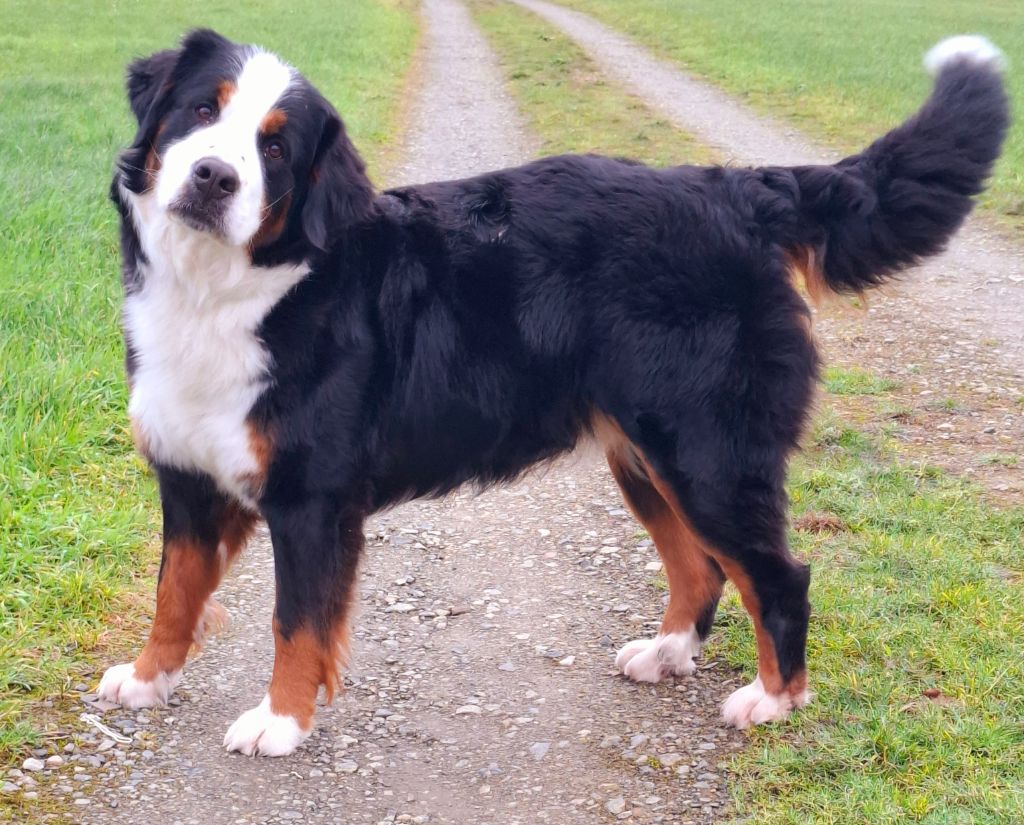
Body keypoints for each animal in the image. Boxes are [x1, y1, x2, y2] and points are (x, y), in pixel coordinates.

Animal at [99, 28, 1008, 756]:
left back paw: (772, 699)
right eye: (198, 111)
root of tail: (737, 191)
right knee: (700, 567)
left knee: (777, 576)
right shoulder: (189, 477)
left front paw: (280, 722)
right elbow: (175, 593)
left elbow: (296, 622)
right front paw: (147, 679)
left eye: (277, 150)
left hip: (708, 454)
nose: (214, 177)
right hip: (646, 454)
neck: (228, 291)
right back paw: (666, 653)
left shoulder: (312, 496)